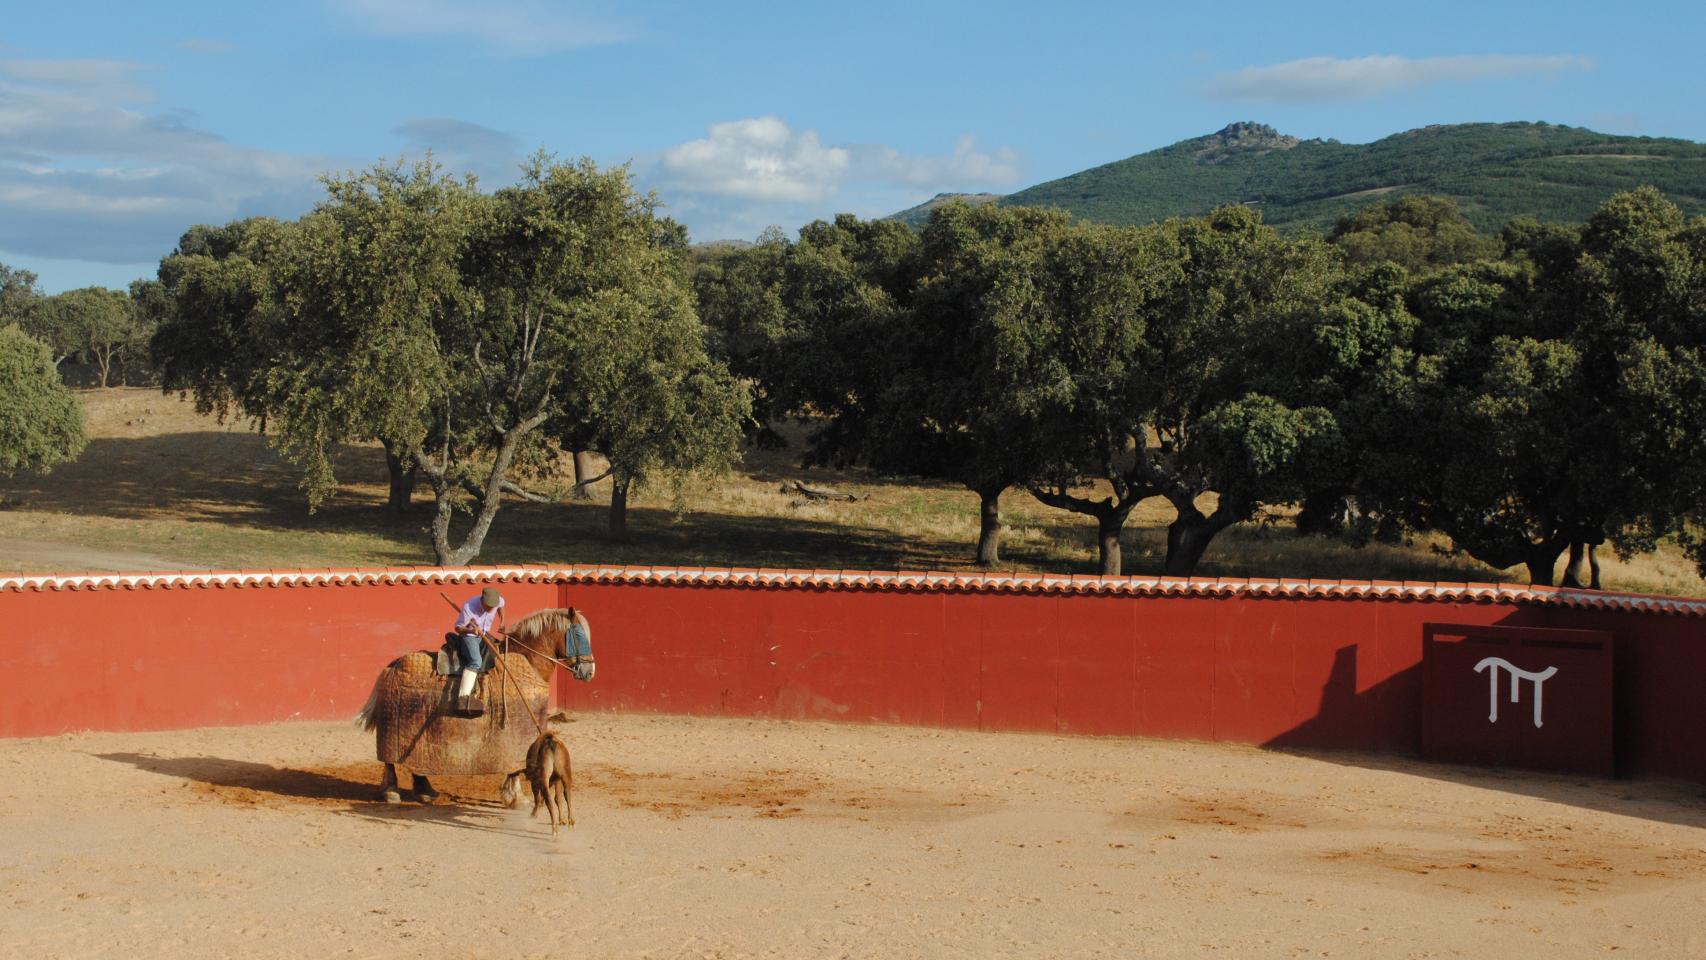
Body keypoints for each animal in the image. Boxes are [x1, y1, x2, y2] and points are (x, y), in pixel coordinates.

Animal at [353, 607, 593, 804]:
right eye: (579, 635)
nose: (589, 672)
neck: (529, 660)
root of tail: (392, 666)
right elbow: (515, 765)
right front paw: (516, 796)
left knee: (414, 763)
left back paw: (425, 791)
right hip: (392, 733)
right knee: (389, 762)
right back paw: (392, 792)